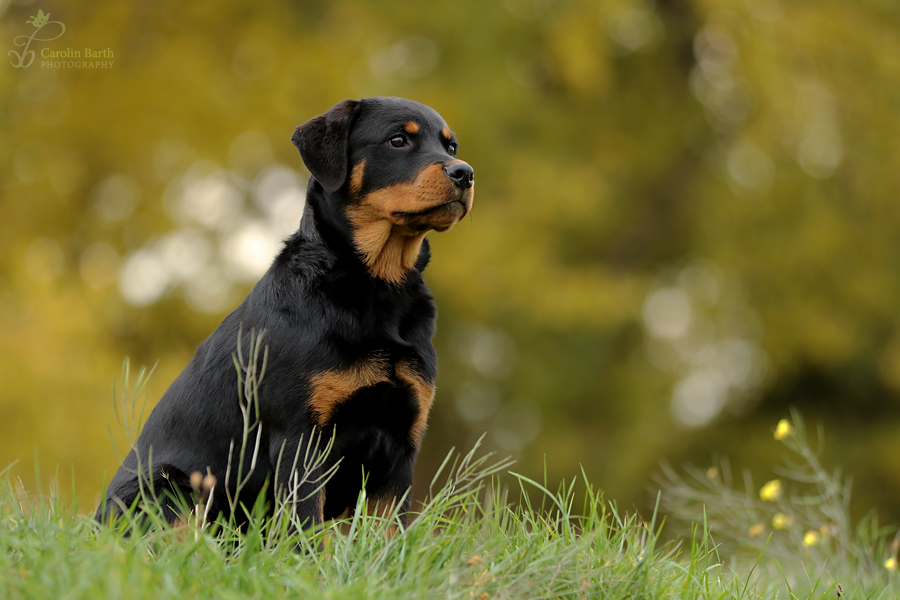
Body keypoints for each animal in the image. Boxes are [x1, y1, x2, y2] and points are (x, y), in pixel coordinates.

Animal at [96, 97, 478, 528]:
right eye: (398, 140)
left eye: (450, 146)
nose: (465, 173)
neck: (379, 288)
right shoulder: (302, 440)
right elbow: (304, 525)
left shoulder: (401, 442)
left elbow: (385, 533)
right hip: (171, 488)